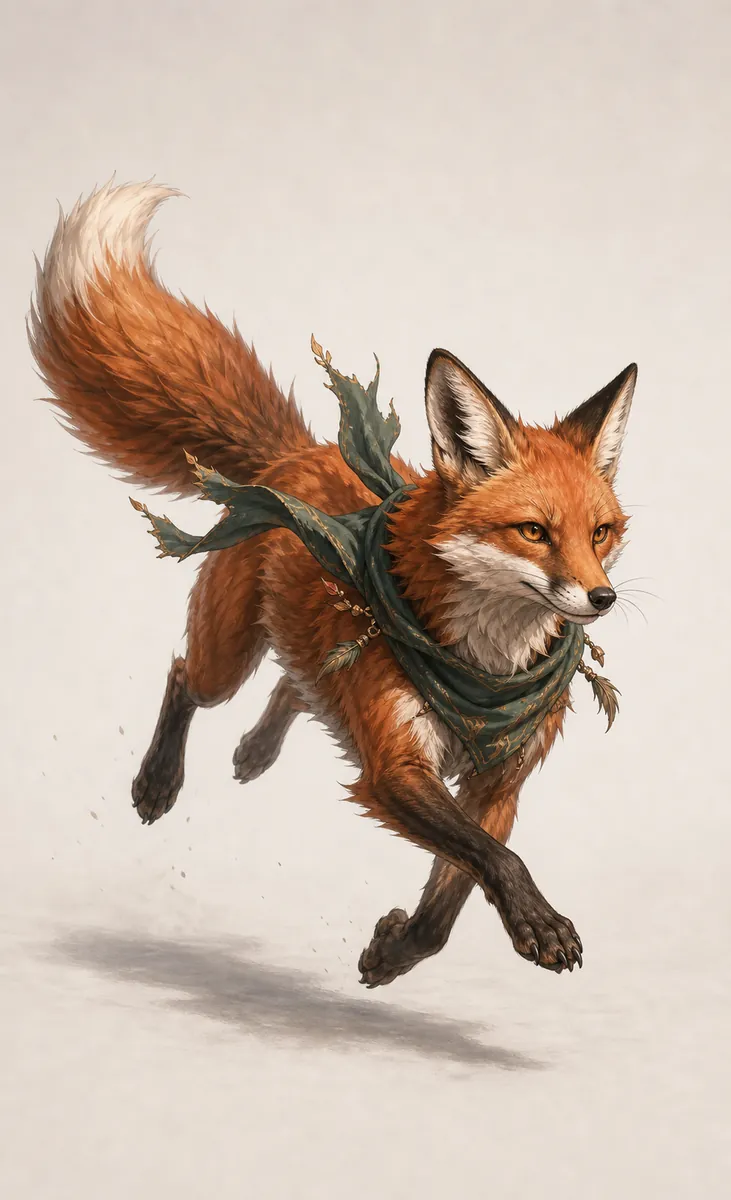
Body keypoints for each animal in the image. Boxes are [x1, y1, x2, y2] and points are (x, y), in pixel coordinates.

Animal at [28, 180, 637, 987]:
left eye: (600, 533)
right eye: (534, 532)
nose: (601, 598)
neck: (483, 671)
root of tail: (294, 455)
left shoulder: (498, 783)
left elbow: (449, 904)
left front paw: (392, 953)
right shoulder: (393, 769)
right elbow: (495, 861)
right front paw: (537, 925)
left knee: (297, 683)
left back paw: (254, 752)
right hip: (227, 655)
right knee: (187, 676)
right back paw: (159, 780)